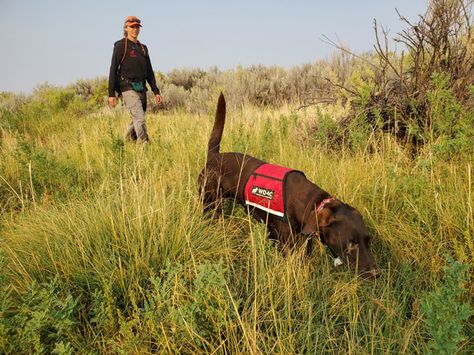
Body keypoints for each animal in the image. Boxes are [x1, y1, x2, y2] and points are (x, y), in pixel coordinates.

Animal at [198, 93, 380, 280]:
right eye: (351, 243)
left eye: (369, 240)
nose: (377, 273)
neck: (312, 204)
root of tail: (213, 156)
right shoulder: (285, 241)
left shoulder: (299, 238)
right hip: (210, 203)